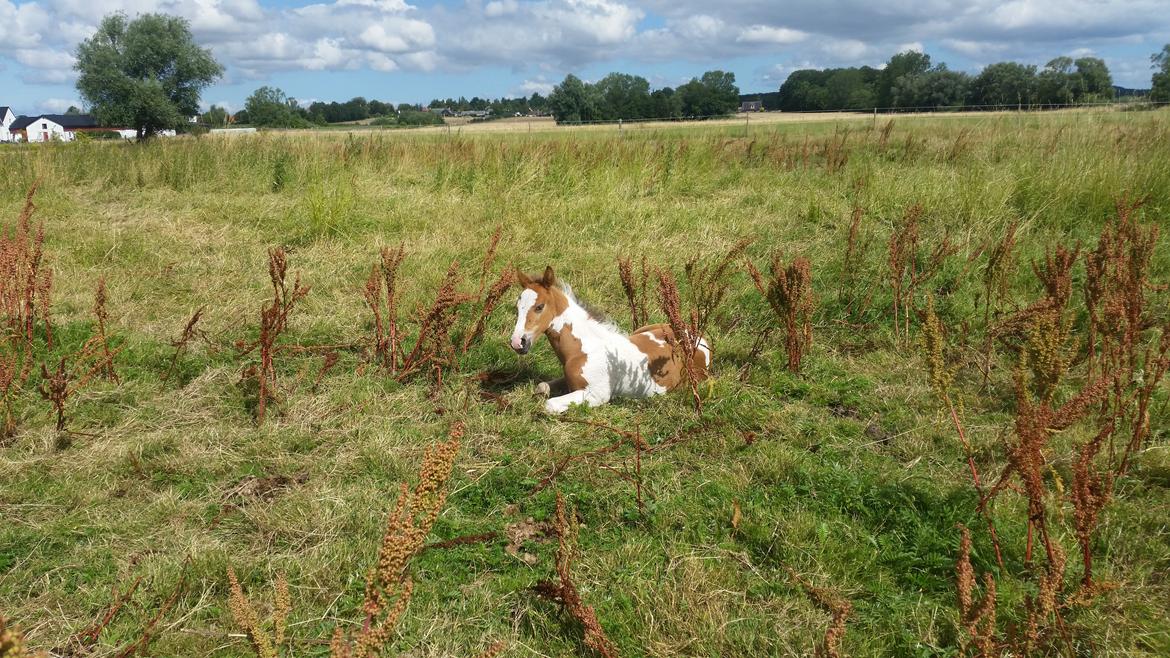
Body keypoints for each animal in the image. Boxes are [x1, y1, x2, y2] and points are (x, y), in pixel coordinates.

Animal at [507, 264, 706, 409]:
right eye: (517, 307)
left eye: (539, 306)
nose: (517, 342)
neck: (584, 349)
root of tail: (698, 338)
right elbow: (541, 387)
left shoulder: (597, 394)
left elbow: (549, 405)